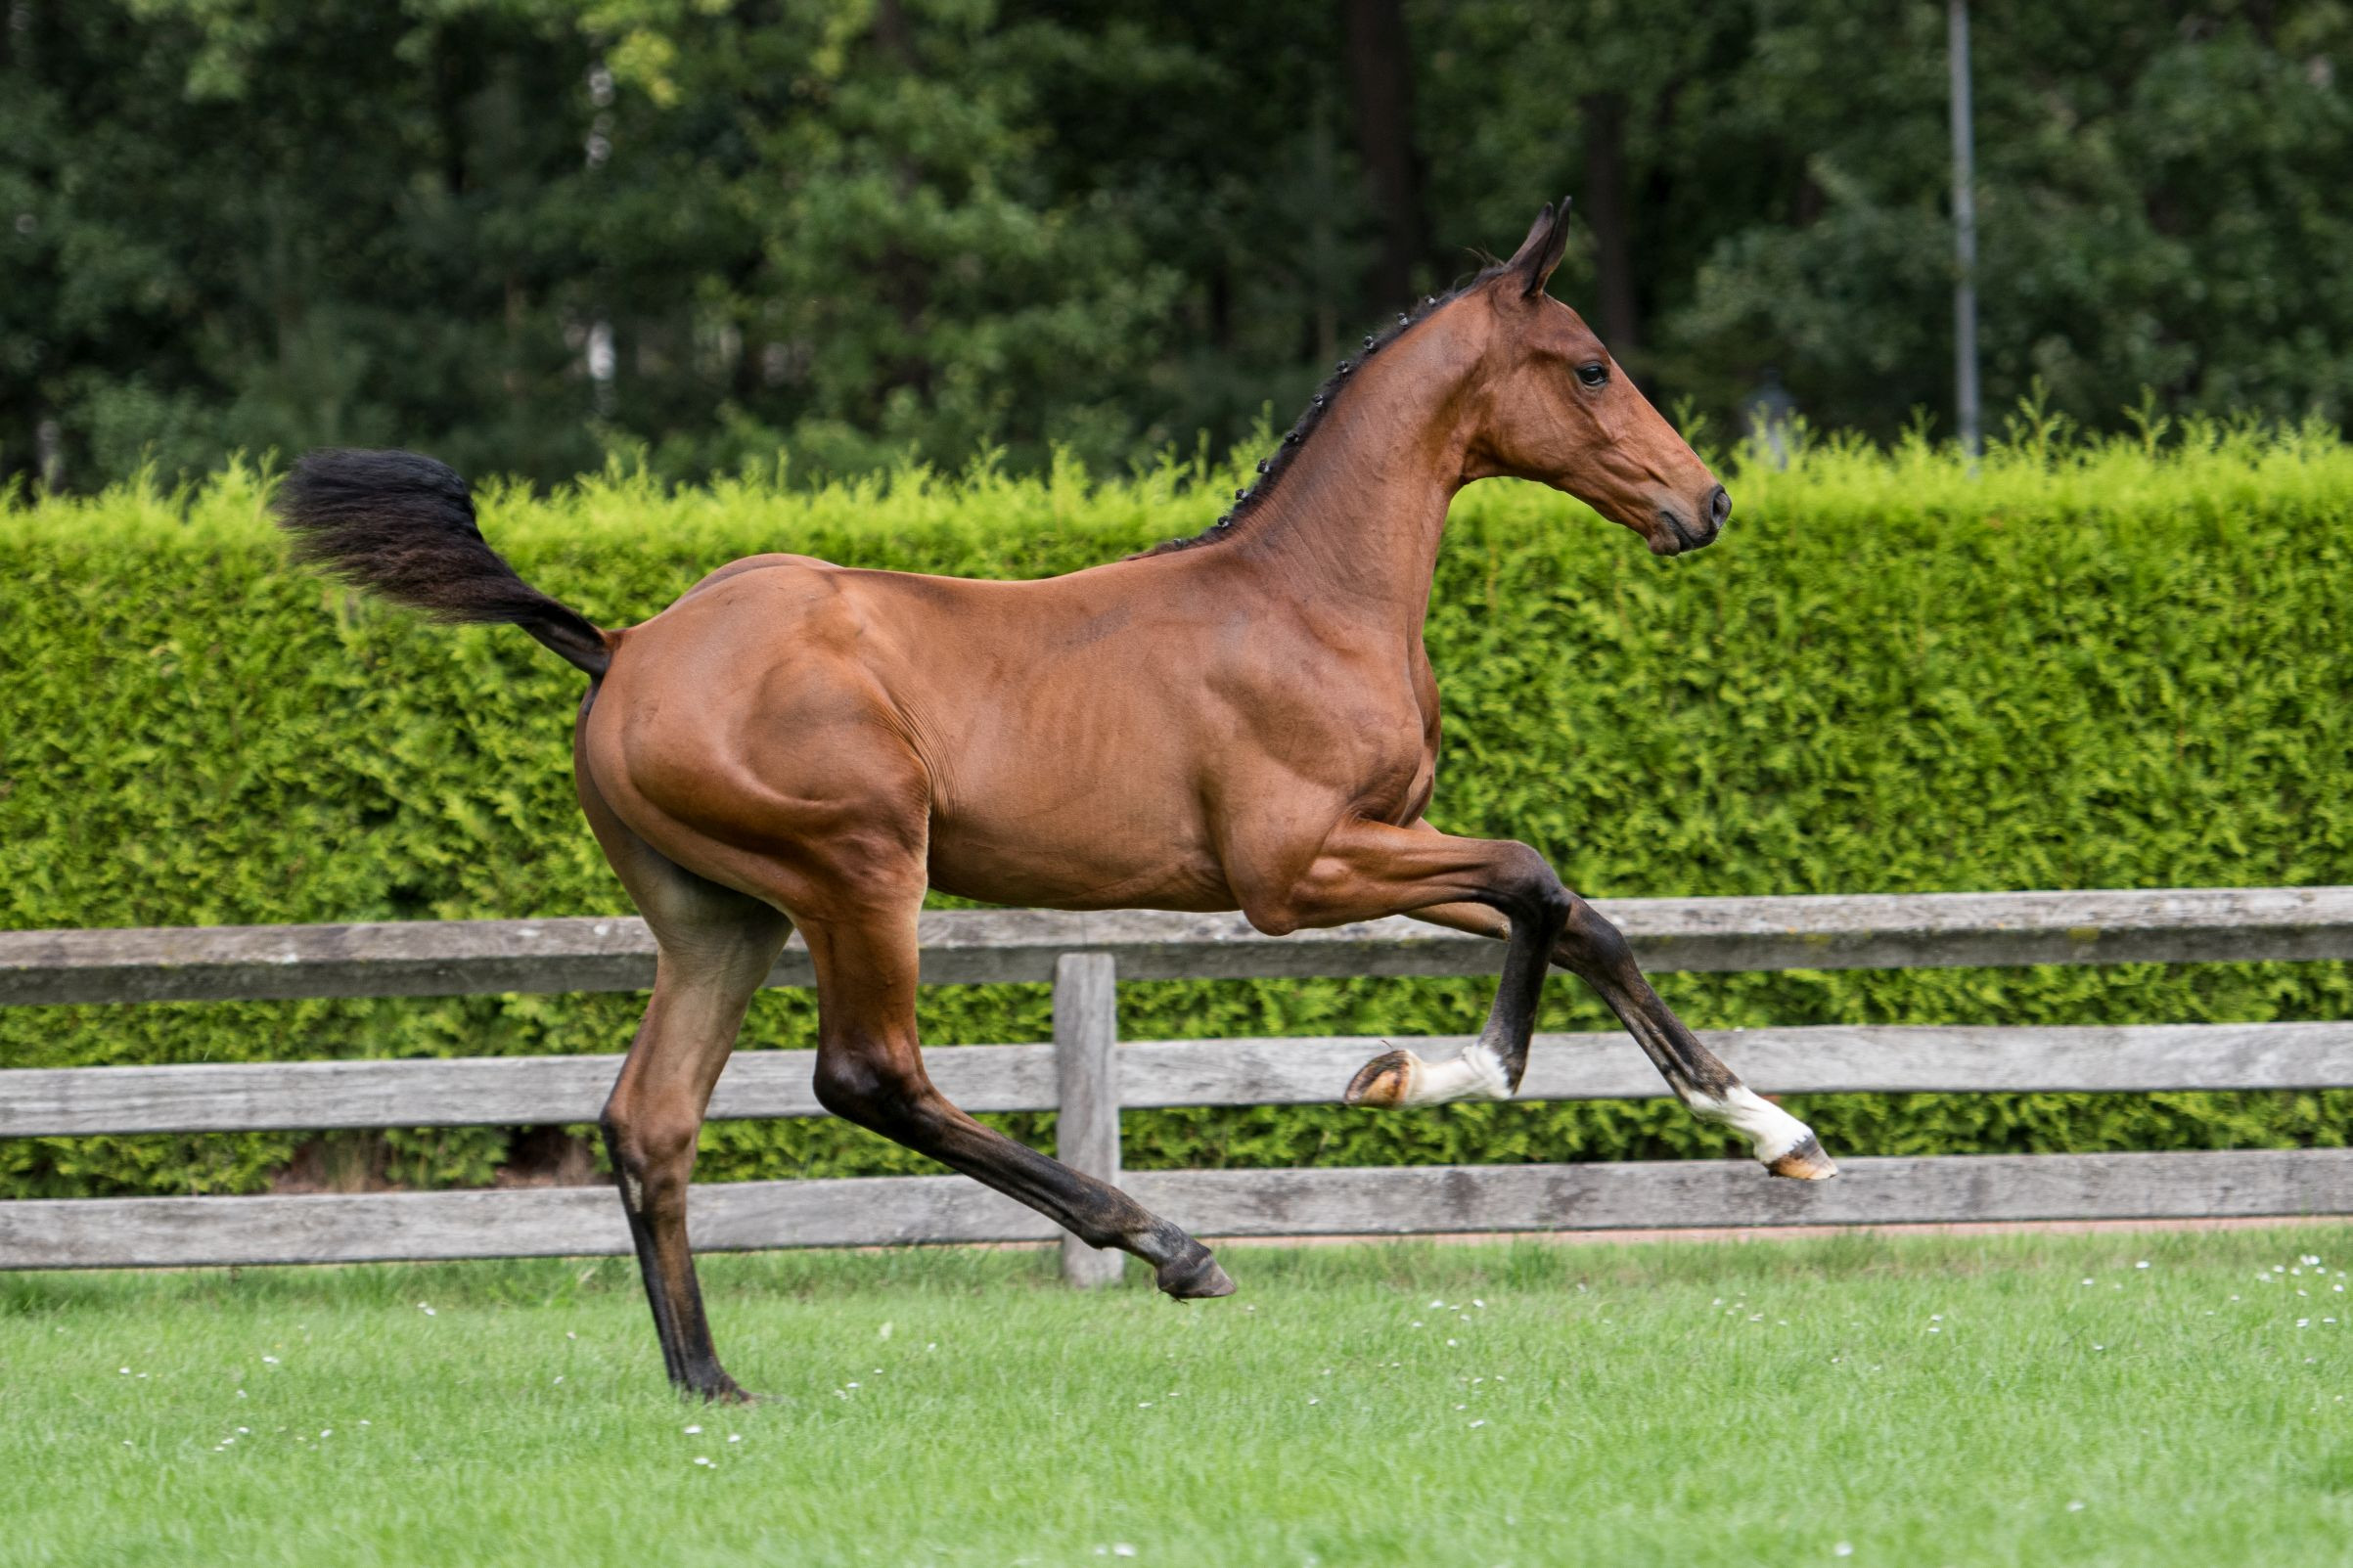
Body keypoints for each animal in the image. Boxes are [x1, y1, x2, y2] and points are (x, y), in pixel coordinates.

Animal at [276, 197, 1834, 1402]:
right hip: (859, 868)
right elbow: (1530, 876)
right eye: (1588, 367)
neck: (1307, 597)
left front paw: (1777, 1135)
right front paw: (1440, 1073)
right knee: (869, 1077)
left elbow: (1572, 912)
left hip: (720, 914)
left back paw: (708, 1377)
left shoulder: (1376, 844)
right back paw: (1166, 1245)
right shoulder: (1294, 871)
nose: (1704, 501)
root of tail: (620, 646)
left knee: (650, 1117)